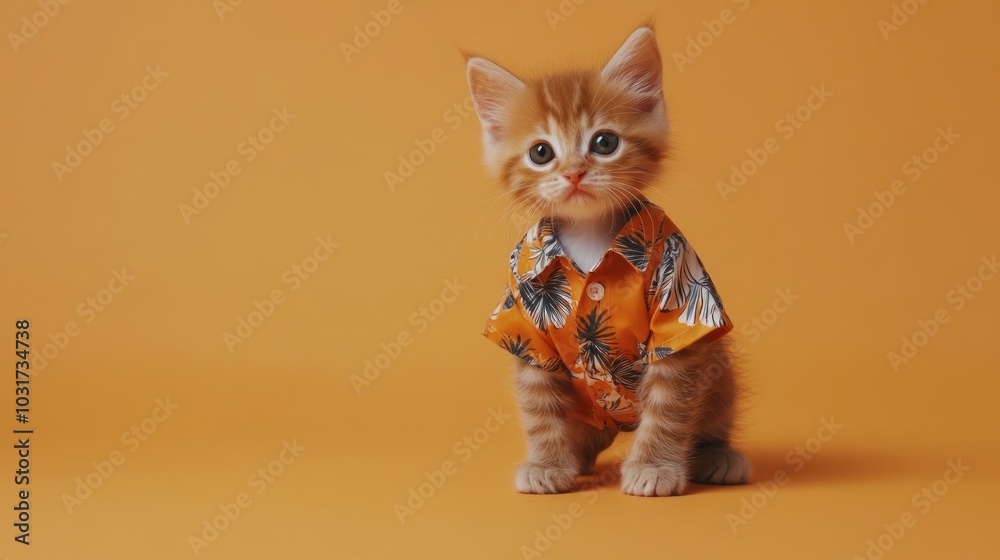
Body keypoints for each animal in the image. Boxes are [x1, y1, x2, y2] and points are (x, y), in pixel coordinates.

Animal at [468, 25, 752, 494]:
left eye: (604, 143)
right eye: (541, 152)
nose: (574, 173)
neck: (590, 235)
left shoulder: (679, 303)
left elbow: (669, 406)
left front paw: (653, 467)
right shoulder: (526, 323)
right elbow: (538, 404)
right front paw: (547, 462)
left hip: (720, 367)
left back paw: (718, 456)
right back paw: (578, 455)